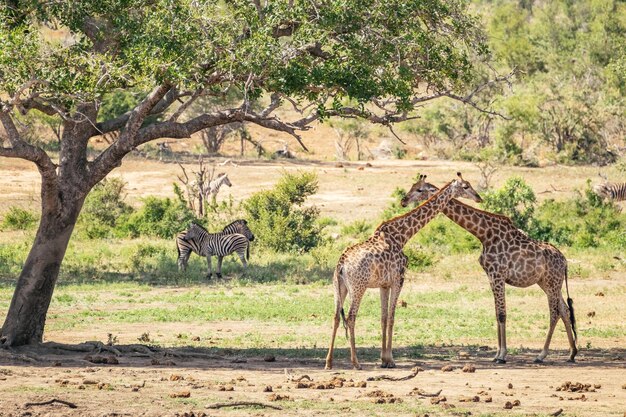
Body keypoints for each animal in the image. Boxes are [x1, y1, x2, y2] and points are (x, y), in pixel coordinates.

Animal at [324, 172, 480, 368]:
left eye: (417, 188)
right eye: (466, 186)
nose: (478, 197)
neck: (402, 236)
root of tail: (341, 264)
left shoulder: (384, 284)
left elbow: (383, 318)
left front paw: (384, 359)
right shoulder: (399, 280)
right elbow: (392, 317)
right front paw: (390, 360)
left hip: (339, 287)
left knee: (336, 317)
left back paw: (329, 362)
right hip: (358, 287)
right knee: (351, 317)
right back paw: (356, 363)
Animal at [402, 180, 576, 364]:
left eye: (419, 189)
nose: (403, 201)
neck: (484, 234)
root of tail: (565, 262)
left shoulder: (498, 275)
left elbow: (502, 314)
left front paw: (502, 355)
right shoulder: (491, 277)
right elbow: (496, 313)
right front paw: (496, 354)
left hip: (551, 283)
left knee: (555, 313)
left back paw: (541, 355)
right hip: (547, 283)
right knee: (565, 310)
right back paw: (572, 353)